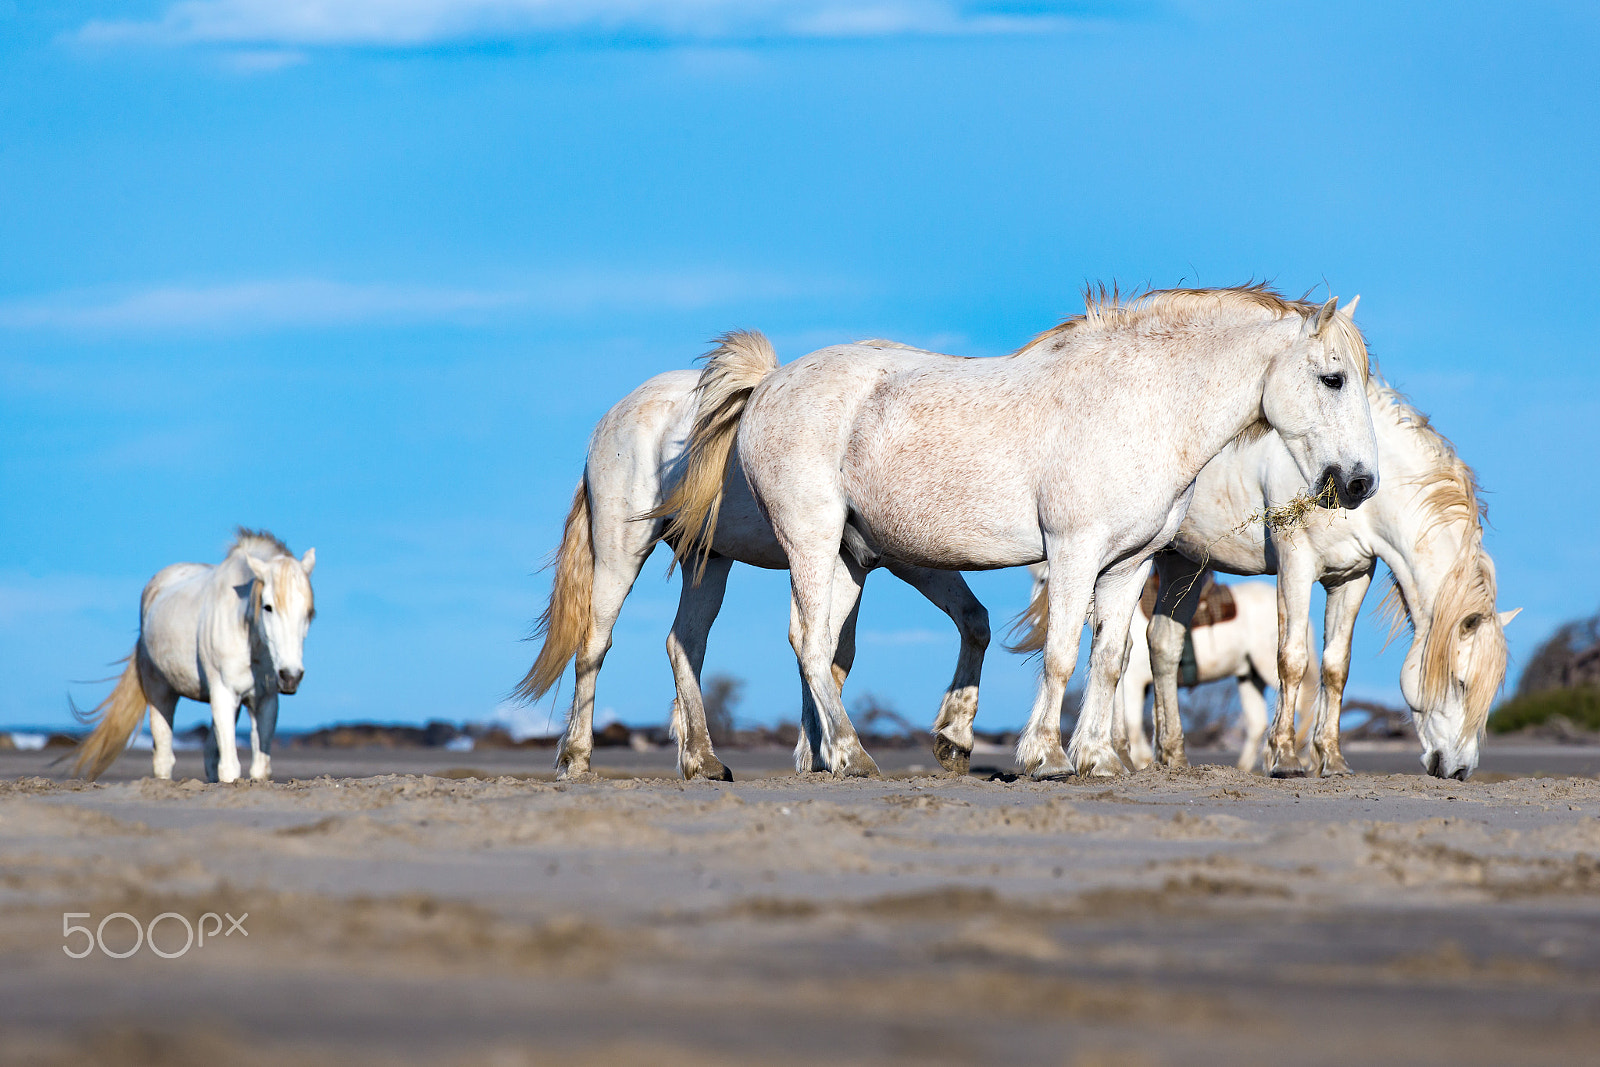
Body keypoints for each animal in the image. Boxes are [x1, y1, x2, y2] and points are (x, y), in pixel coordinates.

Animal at [72, 529, 316, 784]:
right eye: (268, 607)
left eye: (309, 612)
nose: (290, 676)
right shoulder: (223, 695)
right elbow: (229, 768)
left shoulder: (266, 701)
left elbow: (259, 769)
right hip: (160, 693)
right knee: (164, 758)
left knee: (209, 753)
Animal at [516, 342, 991, 781]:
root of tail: (612, 418)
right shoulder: (883, 559)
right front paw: (829, 753)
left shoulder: (887, 560)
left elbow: (966, 621)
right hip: (622, 549)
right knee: (595, 643)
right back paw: (576, 759)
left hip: (707, 561)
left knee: (685, 643)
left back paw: (703, 761)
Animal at [659, 284, 1378, 778]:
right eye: (1332, 377)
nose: (1361, 483)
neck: (1140, 404)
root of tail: (769, 384)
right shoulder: (1073, 550)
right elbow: (1061, 652)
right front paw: (1045, 755)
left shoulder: (1129, 564)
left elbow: (1109, 660)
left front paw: (1096, 758)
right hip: (810, 536)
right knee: (807, 642)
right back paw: (850, 754)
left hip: (845, 555)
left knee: (821, 646)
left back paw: (819, 757)